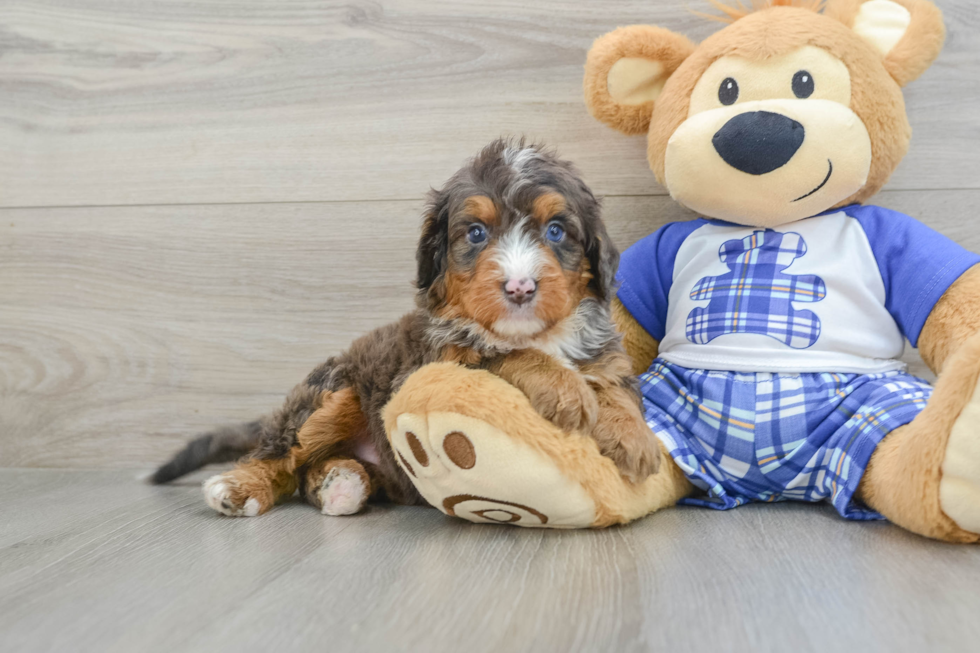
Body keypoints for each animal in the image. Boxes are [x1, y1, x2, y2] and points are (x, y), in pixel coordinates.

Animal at [153, 140, 660, 516]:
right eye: (476, 233)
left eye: (556, 230)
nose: (520, 287)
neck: (536, 332)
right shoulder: (434, 361)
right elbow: (502, 353)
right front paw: (565, 388)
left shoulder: (604, 353)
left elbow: (615, 387)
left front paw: (633, 437)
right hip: (333, 390)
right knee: (280, 455)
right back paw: (239, 487)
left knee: (309, 470)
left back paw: (341, 483)